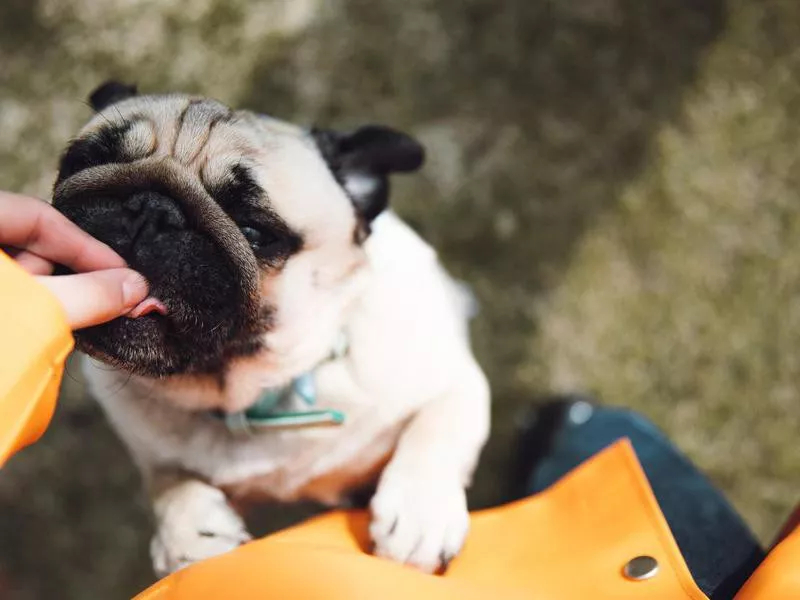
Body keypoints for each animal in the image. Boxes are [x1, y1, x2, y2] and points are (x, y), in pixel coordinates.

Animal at [53, 81, 490, 576]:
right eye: (81, 162)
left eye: (254, 231)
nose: (150, 208)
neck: (249, 392)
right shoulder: (151, 449)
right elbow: (166, 476)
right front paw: (188, 534)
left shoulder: (456, 382)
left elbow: (437, 428)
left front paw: (419, 515)